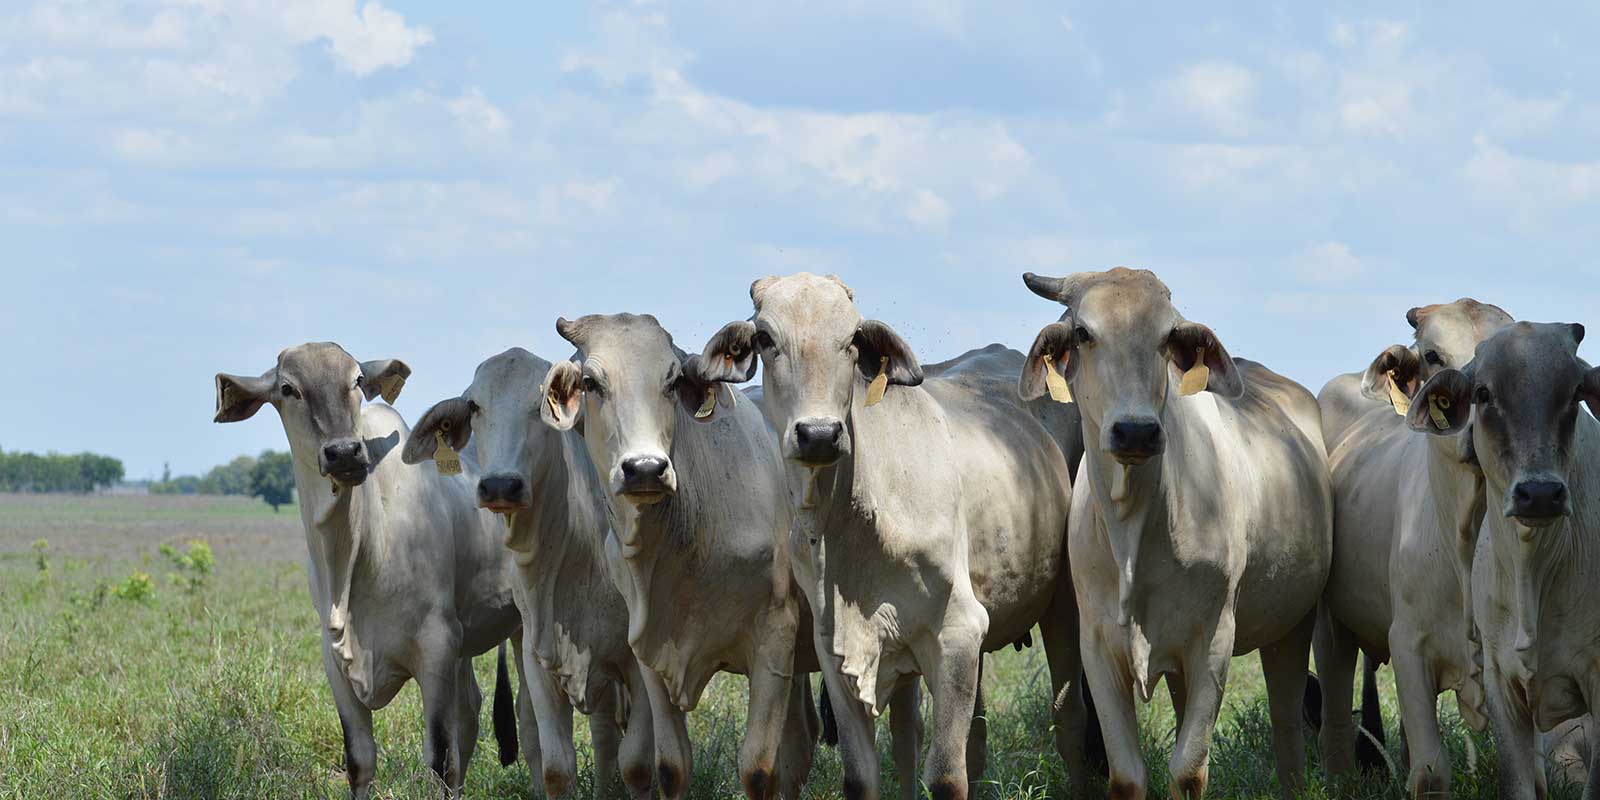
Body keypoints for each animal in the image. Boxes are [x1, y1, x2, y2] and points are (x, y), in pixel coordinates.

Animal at [212, 342, 530, 798]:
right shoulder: (335, 662)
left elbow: (439, 758)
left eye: (357, 380)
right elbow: (360, 760)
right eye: (288, 389)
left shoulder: (436, 648)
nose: (345, 452)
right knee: (470, 711)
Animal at [401, 347, 662, 799]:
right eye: (474, 405)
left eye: (542, 403)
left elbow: (637, 764)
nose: (500, 485)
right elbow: (557, 767)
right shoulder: (539, 657)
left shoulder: (637, 661)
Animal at [538, 313, 819, 800]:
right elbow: (671, 767)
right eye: (590, 382)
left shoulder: (775, 634)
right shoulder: (649, 650)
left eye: (671, 381)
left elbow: (758, 770)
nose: (645, 469)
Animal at [694, 273, 1095, 800]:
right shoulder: (836, 650)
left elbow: (946, 775)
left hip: (1062, 603)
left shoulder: (958, 633)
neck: (859, 524)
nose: (819, 434)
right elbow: (862, 776)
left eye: (851, 339)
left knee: (1069, 720)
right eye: (764, 338)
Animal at [1018, 267, 1332, 799]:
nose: (1136, 431)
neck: (1134, 532)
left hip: (1293, 623)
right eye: (1082, 332)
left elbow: (1188, 770)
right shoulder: (1097, 647)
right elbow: (1127, 776)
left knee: (1287, 722)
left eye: (1167, 335)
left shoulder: (1213, 642)